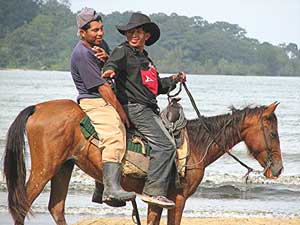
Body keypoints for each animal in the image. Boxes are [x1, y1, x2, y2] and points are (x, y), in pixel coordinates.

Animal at [3, 100, 282, 225]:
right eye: (273, 133)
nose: (278, 169)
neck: (196, 145)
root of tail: (37, 108)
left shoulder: (156, 198)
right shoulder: (178, 198)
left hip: (63, 167)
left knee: (56, 208)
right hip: (45, 168)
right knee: (22, 204)